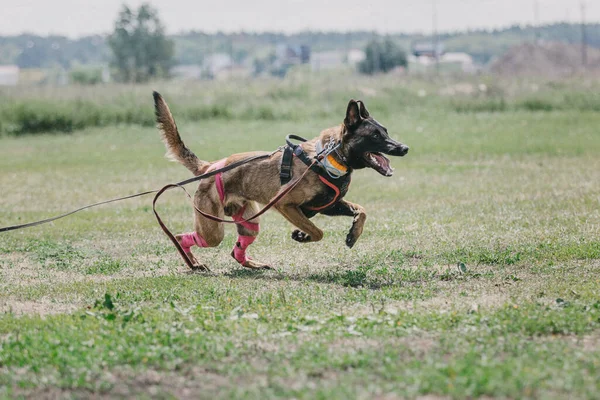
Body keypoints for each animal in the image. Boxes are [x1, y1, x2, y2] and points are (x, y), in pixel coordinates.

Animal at [152, 92, 410, 270]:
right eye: (375, 135)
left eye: (386, 131)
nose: (404, 148)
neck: (328, 157)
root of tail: (210, 166)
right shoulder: (286, 204)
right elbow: (318, 232)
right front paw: (304, 236)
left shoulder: (327, 205)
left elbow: (361, 210)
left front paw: (352, 233)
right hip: (213, 231)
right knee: (182, 237)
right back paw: (193, 262)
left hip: (249, 224)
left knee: (237, 250)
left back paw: (253, 265)